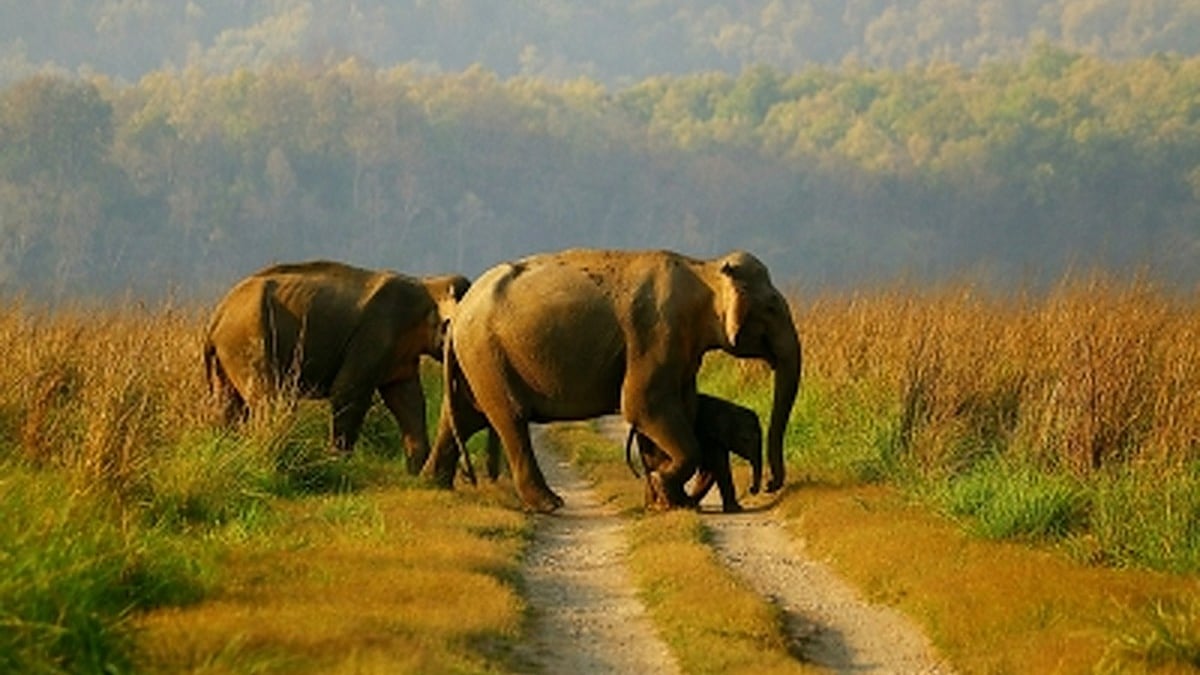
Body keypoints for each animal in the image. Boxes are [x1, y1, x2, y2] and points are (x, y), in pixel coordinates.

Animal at [203, 260, 469, 472]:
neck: (428, 285)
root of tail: (216, 317)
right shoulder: (374, 334)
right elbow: (347, 391)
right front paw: (339, 465)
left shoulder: (400, 355)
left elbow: (407, 398)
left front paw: (417, 470)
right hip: (249, 340)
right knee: (272, 400)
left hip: (227, 354)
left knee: (227, 406)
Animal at [626, 393, 762, 513]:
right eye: (745, 439)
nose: (751, 490)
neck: (728, 407)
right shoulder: (707, 434)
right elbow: (716, 466)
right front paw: (736, 509)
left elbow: (710, 470)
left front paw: (692, 504)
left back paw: (653, 506)